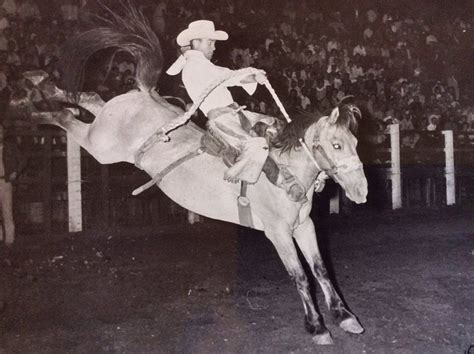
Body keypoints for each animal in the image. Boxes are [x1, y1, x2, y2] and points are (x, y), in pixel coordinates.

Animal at [11, 2, 366, 346]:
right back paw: (29, 105)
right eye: (336, 144)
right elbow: (301, 276)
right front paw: (317, 327)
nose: (361, 191)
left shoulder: (304, 226)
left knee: (89, 97)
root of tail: (144, 94)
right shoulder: (277, 232)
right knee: (68, 120)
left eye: (355, 142)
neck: (284, 171)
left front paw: (345, 317)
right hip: (100, 145)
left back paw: (39, 83)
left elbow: (321, 270)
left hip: (105, 119)